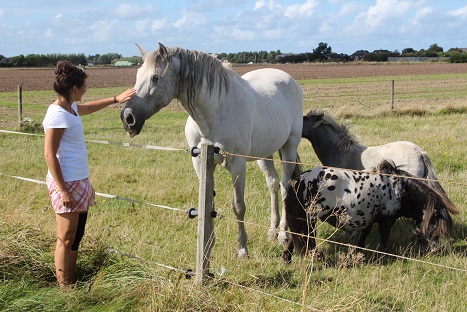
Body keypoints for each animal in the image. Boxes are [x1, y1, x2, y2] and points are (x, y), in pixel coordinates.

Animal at [121, 44, 304, 258]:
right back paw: (272, 232)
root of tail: (290, 80)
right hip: (264, 154)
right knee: (273, 184)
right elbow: (209, 205)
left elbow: (238, 206)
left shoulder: (237, 164)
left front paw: (242, 249)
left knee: (285, 187)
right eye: (137, 74)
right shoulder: (200, 162)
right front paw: (208, 245)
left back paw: (283, 235)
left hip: (289, 148)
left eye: (155, 77)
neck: (214, 113)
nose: (128, 118)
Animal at [284, 160, 458, 262]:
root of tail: (300, 179)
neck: (399, 189)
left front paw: (358, 252)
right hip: (310, 219)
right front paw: (383, 255)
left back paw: (287, 258)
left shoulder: (369, 218)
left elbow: (363, 235)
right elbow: (384, 237)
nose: (435, 251)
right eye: (435, 224)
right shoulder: (387, 220)